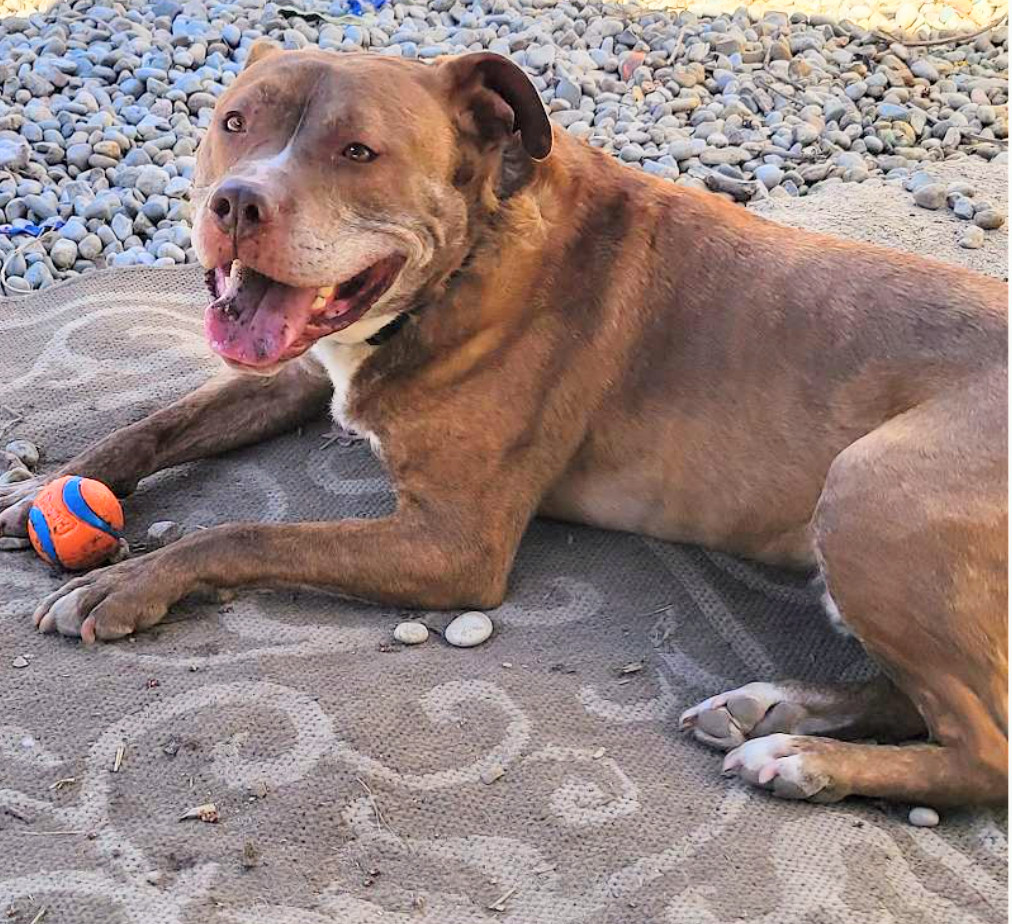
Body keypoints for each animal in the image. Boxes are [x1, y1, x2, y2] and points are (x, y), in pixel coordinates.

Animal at [3, 45, 1007, 809]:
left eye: (359, 150)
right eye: (235, 122)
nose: (238, 204)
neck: (467, 258)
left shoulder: (454, 545)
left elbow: (246, 530)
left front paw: (125, 583)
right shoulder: (302, 370)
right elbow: (159, 422)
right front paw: (48, 490)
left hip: (872, 489)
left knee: (985, 749)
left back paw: (801, 758)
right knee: (930, 704)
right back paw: (775, 709)